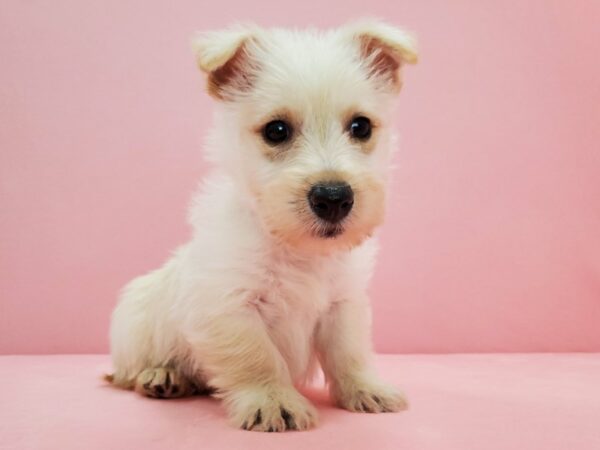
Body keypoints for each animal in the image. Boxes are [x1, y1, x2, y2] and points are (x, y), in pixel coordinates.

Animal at [108, 21, 418, 432]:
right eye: (276, 130)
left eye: (361, 126)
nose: (333, 198)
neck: (295, 246)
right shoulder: (229, 305)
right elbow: (257, 357)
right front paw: (273, 402)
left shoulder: (343, 303)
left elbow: (349, 352)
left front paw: (366, 388)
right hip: (134, 326)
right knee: (126, 372)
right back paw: (162, 374)